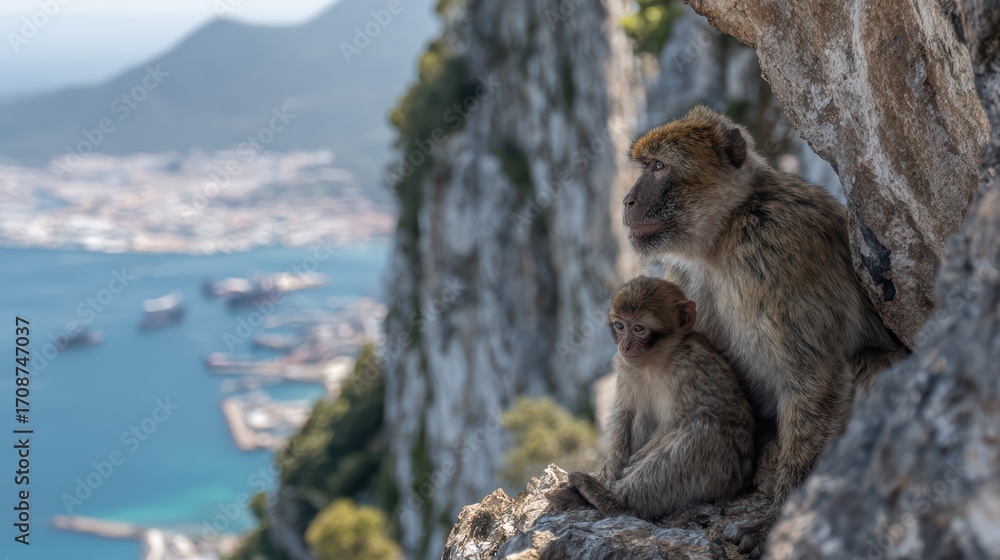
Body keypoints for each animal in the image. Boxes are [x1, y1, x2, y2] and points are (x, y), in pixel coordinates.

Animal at [547, 276, 755, 520]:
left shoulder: (692, 365)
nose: (625, 345)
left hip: (724, 472)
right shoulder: (624, 366)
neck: (658, 361)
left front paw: (627, 469)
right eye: (620, 326)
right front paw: (609, 472)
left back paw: (615, 502)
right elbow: (624, 412)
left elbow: (684, 419)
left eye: (639, 328)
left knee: (704, 426)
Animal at [622, 106, 907, 555]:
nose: (627, 200)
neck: (722, 234)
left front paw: (777, 521)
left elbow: (815, 377)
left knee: (872, 365)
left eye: (658, 167)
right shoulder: (687, 277)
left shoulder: (771, 249)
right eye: (646, 165)